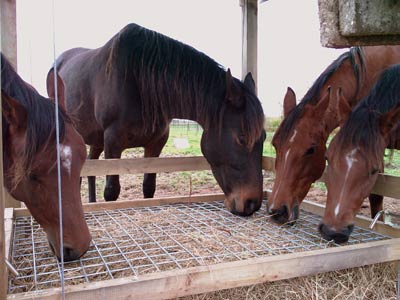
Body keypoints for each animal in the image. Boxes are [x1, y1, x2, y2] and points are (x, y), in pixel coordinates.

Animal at [47, 22, 266, 216]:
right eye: (242, 138)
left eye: (263, 137)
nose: (252, 204)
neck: (138, 82)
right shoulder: (113, 142)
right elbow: (111, 192)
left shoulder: (156, 143)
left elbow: (148, 188)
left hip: (96, 140)